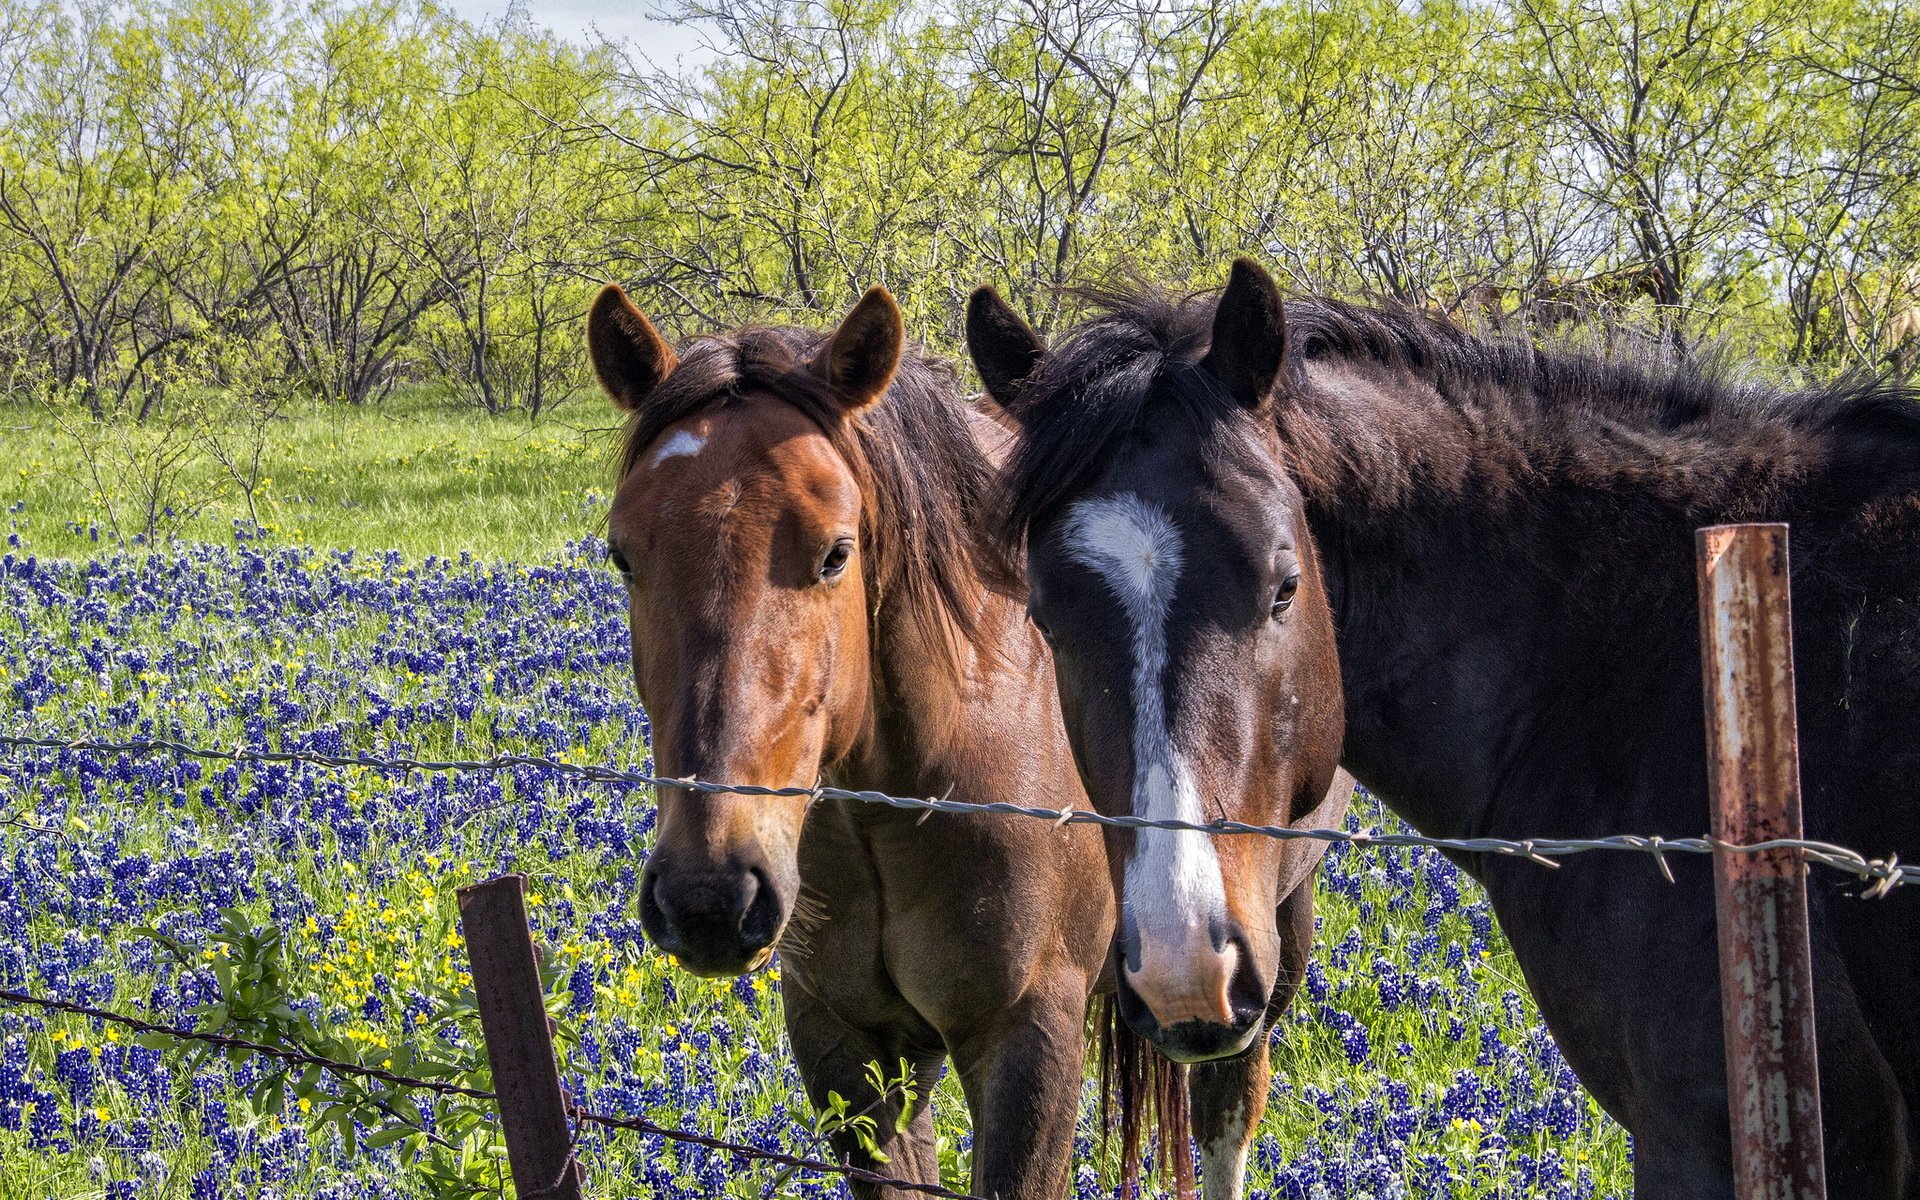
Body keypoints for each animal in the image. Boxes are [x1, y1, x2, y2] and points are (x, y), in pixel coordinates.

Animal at [586, 282, 1346, 1199]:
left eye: (836, 552)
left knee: (1228, 1103)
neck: (895, 793)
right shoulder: (841, 1037)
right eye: (623, 556)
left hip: (1264, 931)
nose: (709, 895)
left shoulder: (1029, 1033)